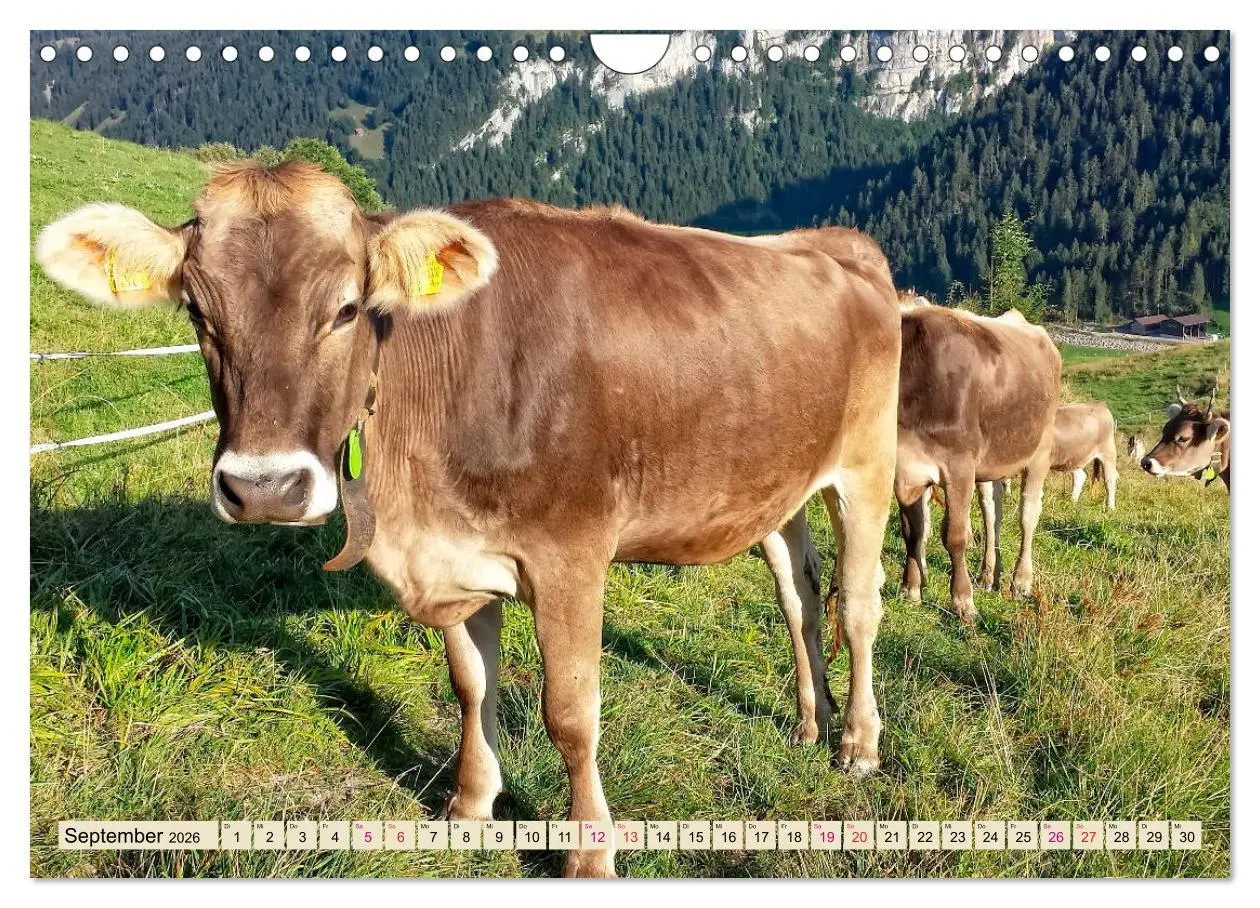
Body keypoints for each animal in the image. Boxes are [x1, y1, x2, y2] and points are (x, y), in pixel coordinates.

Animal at [35, 161, 902, 877]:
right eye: (198, 312)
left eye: (346, 309)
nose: (265, 488)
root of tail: (838, 243)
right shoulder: (452, 553)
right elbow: (469, 684)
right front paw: (471, 806)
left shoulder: (571, 554)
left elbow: (570, 715)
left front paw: (590, 856)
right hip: (775, 482)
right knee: (799, 596)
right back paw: (809, 722)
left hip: (866, 466)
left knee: (859, 607)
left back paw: (857, 744)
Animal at [895, 304, 1061, 621]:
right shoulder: (903, 471)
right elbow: (912, 532)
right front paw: (911, 590)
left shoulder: (958, 466)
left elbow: (955, 536)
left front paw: (962, 601)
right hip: (990, 464)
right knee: (992, 511)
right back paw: (989, 575)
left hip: (1040, 449)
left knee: (1028, 514)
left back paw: (1020, 581)